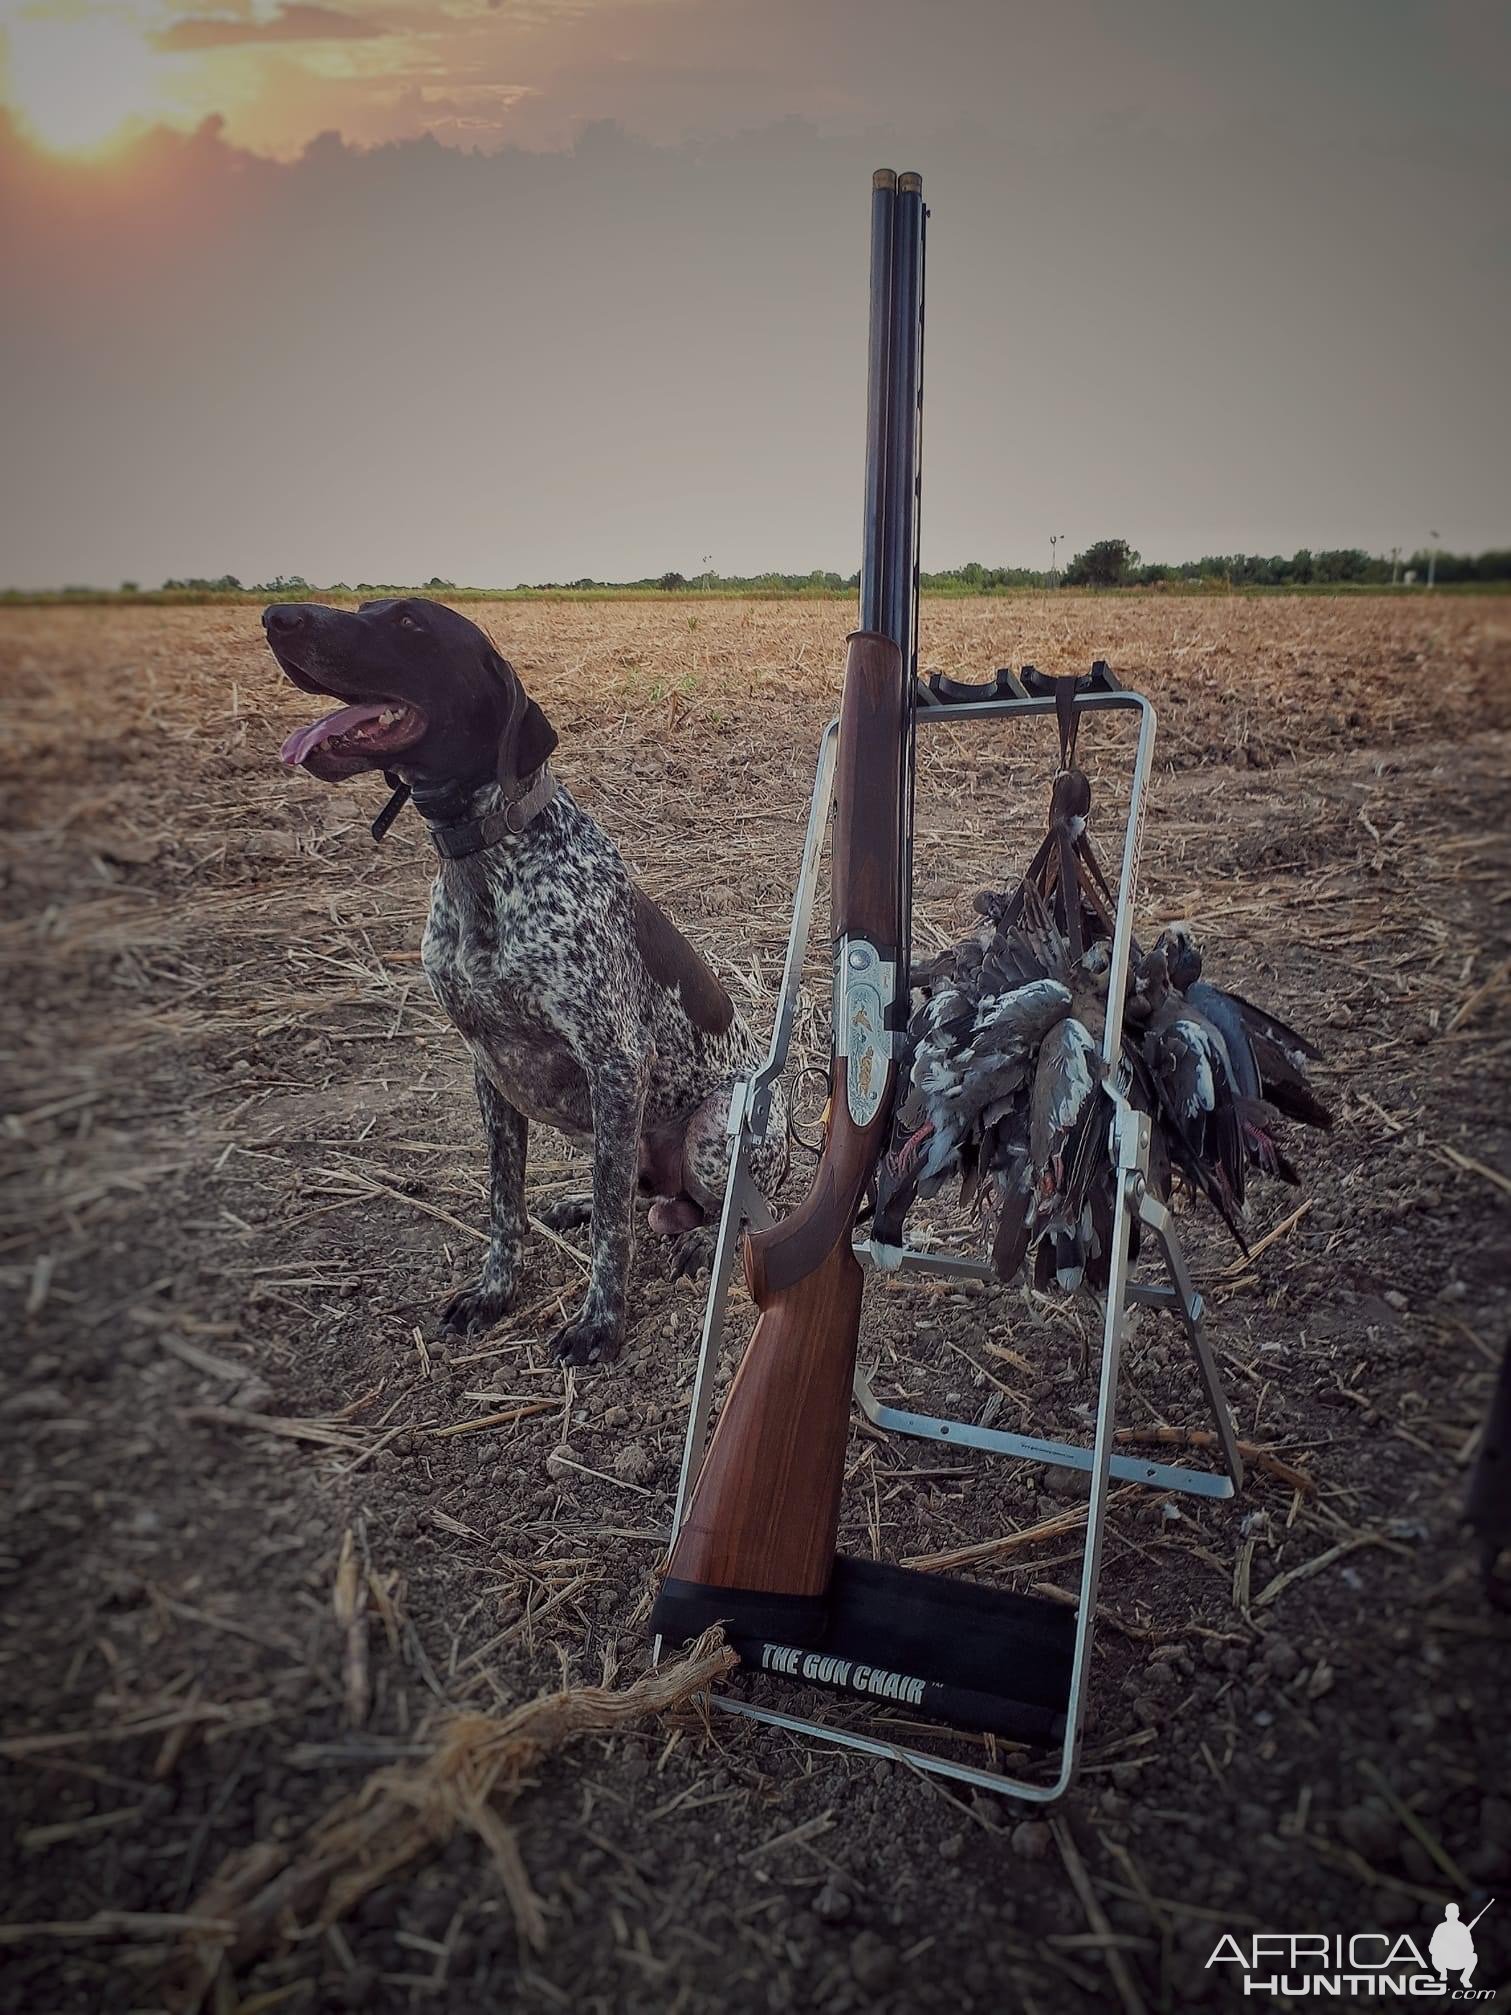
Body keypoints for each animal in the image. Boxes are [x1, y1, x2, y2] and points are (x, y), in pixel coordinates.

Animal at [265, 588, 785, 1362]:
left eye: (409, 622)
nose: (276, 616)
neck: (484, 859)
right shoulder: (489, 1066)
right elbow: (504, 1203)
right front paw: (494, 1291)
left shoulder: (615, 1062)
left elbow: (613, 1233)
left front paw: (600, 1322)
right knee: (631, 1191)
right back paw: (579, 1204)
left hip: (716, 1128)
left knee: (721, 1209)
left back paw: (697, 1242)